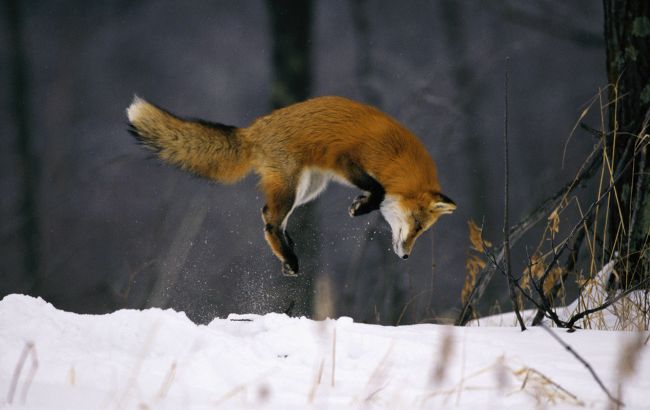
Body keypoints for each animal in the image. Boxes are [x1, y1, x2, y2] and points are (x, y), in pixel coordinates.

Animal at [125, 96, 450, 276]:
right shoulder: (345, 160)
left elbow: (377, 191)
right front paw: (362, 207)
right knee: (270, 219)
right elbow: (379, 190)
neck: (397, 159)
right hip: (293, 185)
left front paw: (362, 204)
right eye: (417, 225)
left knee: (267, 213)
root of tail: (253, 129)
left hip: (309, 187)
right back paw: (289, 256)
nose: (406, 256)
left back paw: (287, 252)